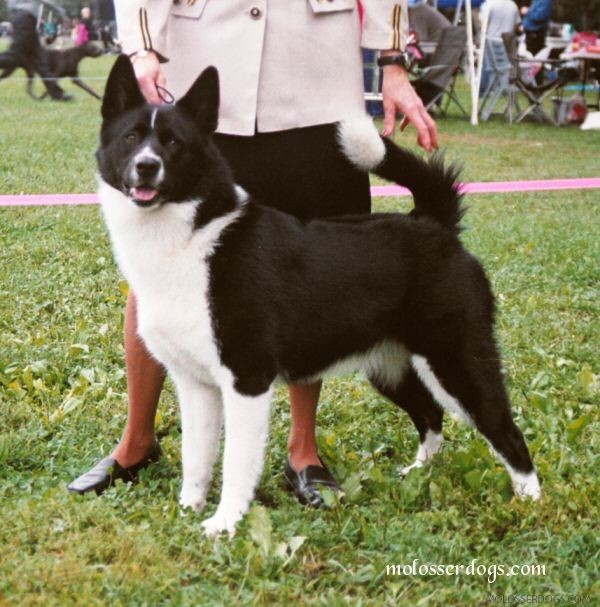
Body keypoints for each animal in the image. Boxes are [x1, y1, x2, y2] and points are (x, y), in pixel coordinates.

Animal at [97, 54, 540, 536]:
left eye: (174, 142)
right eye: (131, 137)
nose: (146, 166)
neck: (194, 237)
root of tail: (433, 223)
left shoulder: (246, 381)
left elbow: (234, 462)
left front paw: (225, 524)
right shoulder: (195, 385)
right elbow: (197, 458)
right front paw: (188, 509)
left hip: (457, 364)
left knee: (507, 432)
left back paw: (530, 505)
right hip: (390, 367)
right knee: (431, 417)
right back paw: (418, 474)